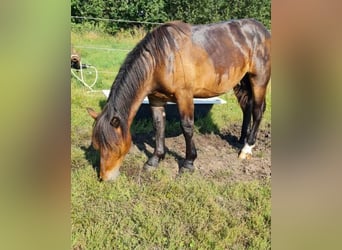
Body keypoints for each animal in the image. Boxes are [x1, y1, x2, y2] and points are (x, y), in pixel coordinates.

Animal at [87, 18, 272, 181]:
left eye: (115, 147)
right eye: (97, 146)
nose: (105, 178)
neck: (161, 59)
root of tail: (262, 30)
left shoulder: (185, 96)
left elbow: (187, 127)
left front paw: (188, 163)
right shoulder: (155, 99)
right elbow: (158, 126)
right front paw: (155, 159)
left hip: (259, 79)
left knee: (257, 110)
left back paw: (247, 148)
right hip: (242, 81)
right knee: (247, 107)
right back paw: (241, 139)